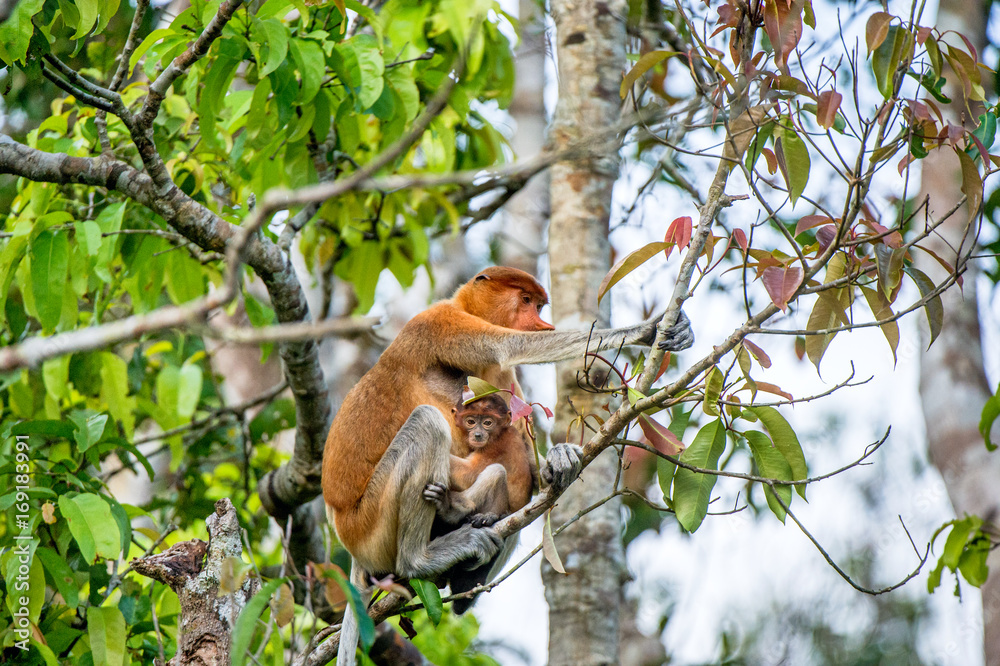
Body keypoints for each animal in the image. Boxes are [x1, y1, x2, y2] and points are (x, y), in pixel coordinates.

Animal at [422, 392, 536, 528]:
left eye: (487, 423)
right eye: (471, 421)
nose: (478, 435)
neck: (500, 432)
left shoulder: (497, 446)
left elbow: (468, 475)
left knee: (497, 471)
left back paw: (449, 508)